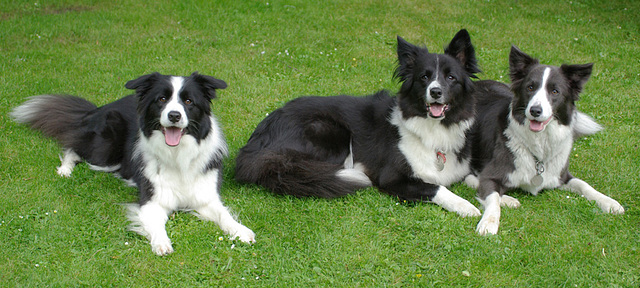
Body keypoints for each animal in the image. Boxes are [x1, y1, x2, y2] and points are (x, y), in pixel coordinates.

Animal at [10, 72, 255, 256]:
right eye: (161, 100)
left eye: (188, 101)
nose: (174, 116)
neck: (177, 154)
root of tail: (96, 109)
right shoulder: (151, 201)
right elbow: (157, 224)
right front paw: (161, 243)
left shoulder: (205, 196)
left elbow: (224, 215)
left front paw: (241, 230)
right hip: (104, 151)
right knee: (73, 145)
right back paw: (65, 169)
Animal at [238, 30, 482, 217]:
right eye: (424, 77)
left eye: (450, 77)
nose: (435, 92)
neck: (432, 128)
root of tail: (255, 144)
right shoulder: (392, 177)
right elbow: (436, 187)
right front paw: (465, 205)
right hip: (332, 132)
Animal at [464, 46, 624, 235]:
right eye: (530, 87)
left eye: (555, 91)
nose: (535, 110)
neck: (539, 148)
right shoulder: (490, 176)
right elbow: (493, 199)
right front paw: (489, 222)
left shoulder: (561, 175)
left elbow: (584, 185)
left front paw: (609, 202)